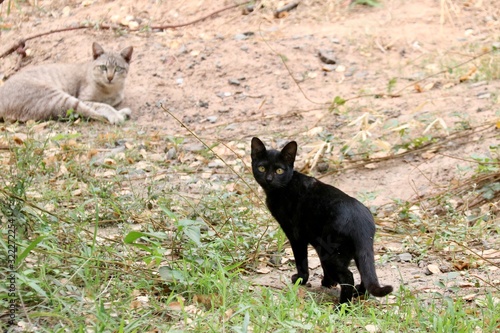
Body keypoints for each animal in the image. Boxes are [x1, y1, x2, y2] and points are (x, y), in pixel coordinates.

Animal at [0, 42, 134, 124]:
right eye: (103, 67)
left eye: (118, 69)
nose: (110, 77)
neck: (110, 90)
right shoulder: (84, 99)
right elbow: (102, 105)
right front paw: (115, 114)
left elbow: (108, 104)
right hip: (57, 98)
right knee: (88, 113)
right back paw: (120, 114)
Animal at [252, 137, 392, 304]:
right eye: (261, 168)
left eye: (279, 170)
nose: (269, 179)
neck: (282, 189)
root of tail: (362, 222)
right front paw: (328, 282)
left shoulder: (296, 235)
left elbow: (301, 260)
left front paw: (301, 279)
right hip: (354, 251)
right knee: (364, 273)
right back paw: (359, 293)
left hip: (331, 252)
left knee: (348, 276)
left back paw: (342, 305)